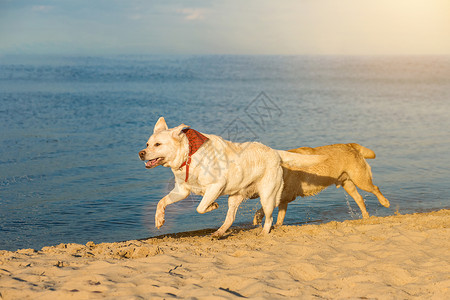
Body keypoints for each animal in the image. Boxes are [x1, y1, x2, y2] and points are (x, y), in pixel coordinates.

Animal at [138, 117, 324, 237]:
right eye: (147, 144)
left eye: (158, 144)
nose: (141, 153)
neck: (189, 155)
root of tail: (275, 152)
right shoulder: (181, 190)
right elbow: (161, 202)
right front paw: (159, 220)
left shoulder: (216, 185)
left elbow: (200, 207)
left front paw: (212, 205)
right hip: (237, 196)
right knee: (232, 217)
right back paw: (220, 232)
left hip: (267, 194)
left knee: (270, 215)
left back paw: (263, 233)